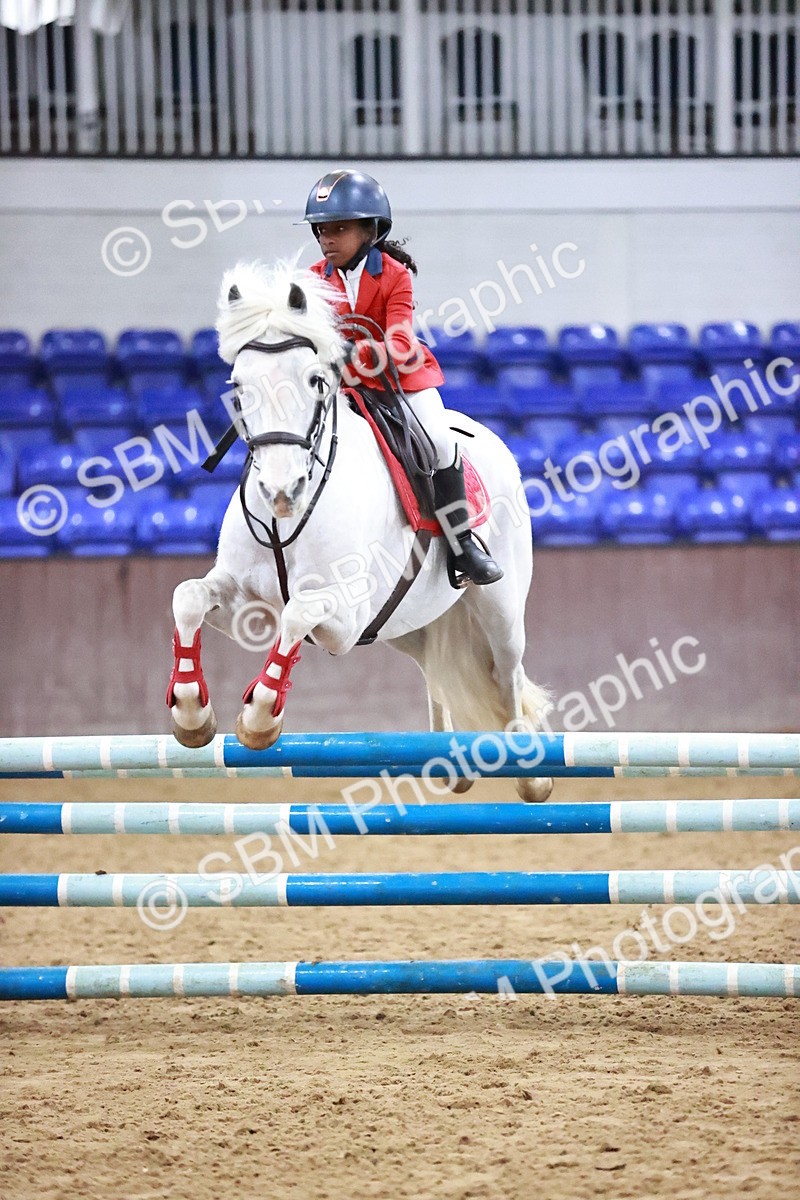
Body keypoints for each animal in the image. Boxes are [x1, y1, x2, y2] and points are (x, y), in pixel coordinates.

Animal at [167, 259, 554, 803]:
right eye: (238, 386)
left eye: (314, 380)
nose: (282, 491)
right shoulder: (244, 600)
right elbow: (188, 597)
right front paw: (191, 714)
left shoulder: (344, 617)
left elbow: (296, 615)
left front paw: (260, 719)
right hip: (404, 626)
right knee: (434, 665)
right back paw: (451, 763)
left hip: (499, 607)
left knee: (508, 673)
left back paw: (530, 770)